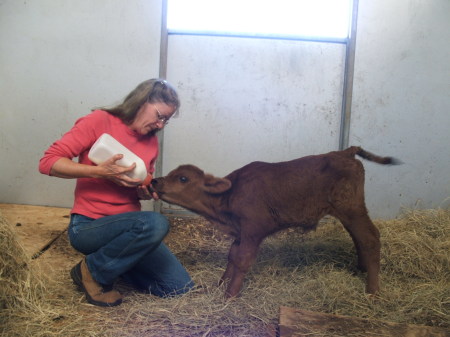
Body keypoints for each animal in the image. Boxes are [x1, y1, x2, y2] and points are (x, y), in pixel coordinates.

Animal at [151, 147, 400, 296]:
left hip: (352, 209)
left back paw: (373, 290)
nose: (155, 181)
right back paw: (361, 269)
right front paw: (222, 283)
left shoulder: (252, 230)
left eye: (183, 178)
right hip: (349, 213)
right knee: (359, 239)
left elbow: (242, 260)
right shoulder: (240, 232)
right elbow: (232, 256)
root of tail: (344, 151)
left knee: (370, 238)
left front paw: (230, 294)